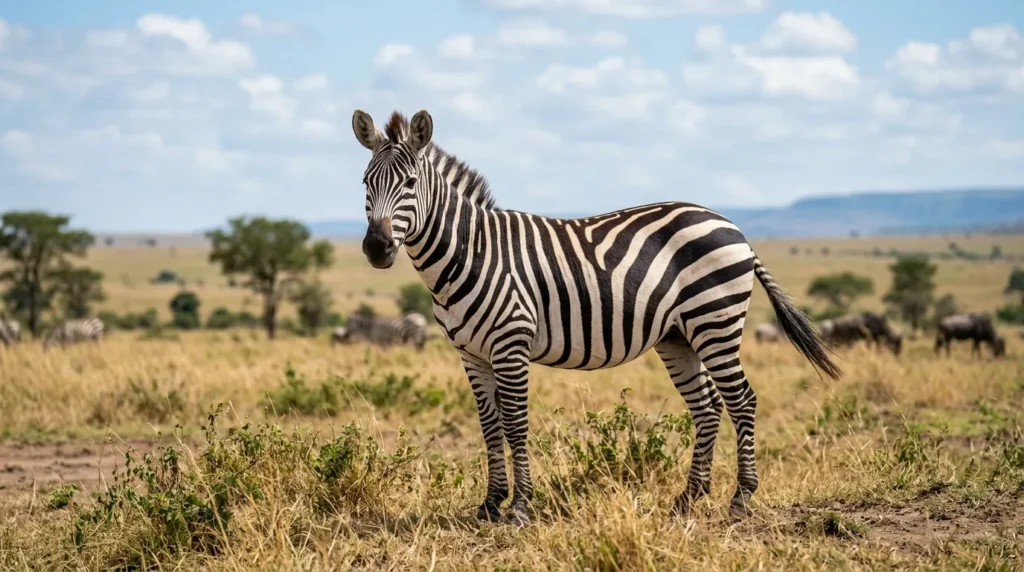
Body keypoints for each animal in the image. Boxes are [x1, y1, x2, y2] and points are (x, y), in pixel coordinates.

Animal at [350, 109, 841, 525]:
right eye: (365, 183)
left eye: (410, 182)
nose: (376, 248)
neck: (469, 253)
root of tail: (732, 226)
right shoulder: (471, 353)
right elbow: (489, 427)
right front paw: (490, 504)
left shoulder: (511, 345)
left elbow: (515, 424)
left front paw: (520, 507)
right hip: (679, 336)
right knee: (707, 406)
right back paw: (688, 499)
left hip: (715, 321)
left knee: (742, 401)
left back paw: (740, 499)